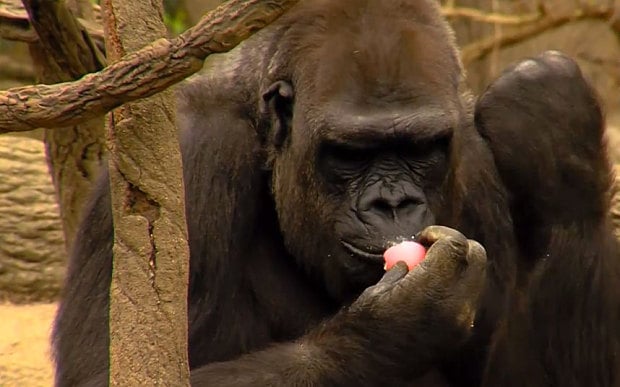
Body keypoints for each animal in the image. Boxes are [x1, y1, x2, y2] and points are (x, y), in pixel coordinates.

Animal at [53, 0, 620, 387]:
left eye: (420, 148)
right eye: (350, 154)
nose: (393, 204)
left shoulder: (476, 163)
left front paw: (558, 140)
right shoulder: (190, 151)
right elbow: (116, 373)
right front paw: (395, 327)